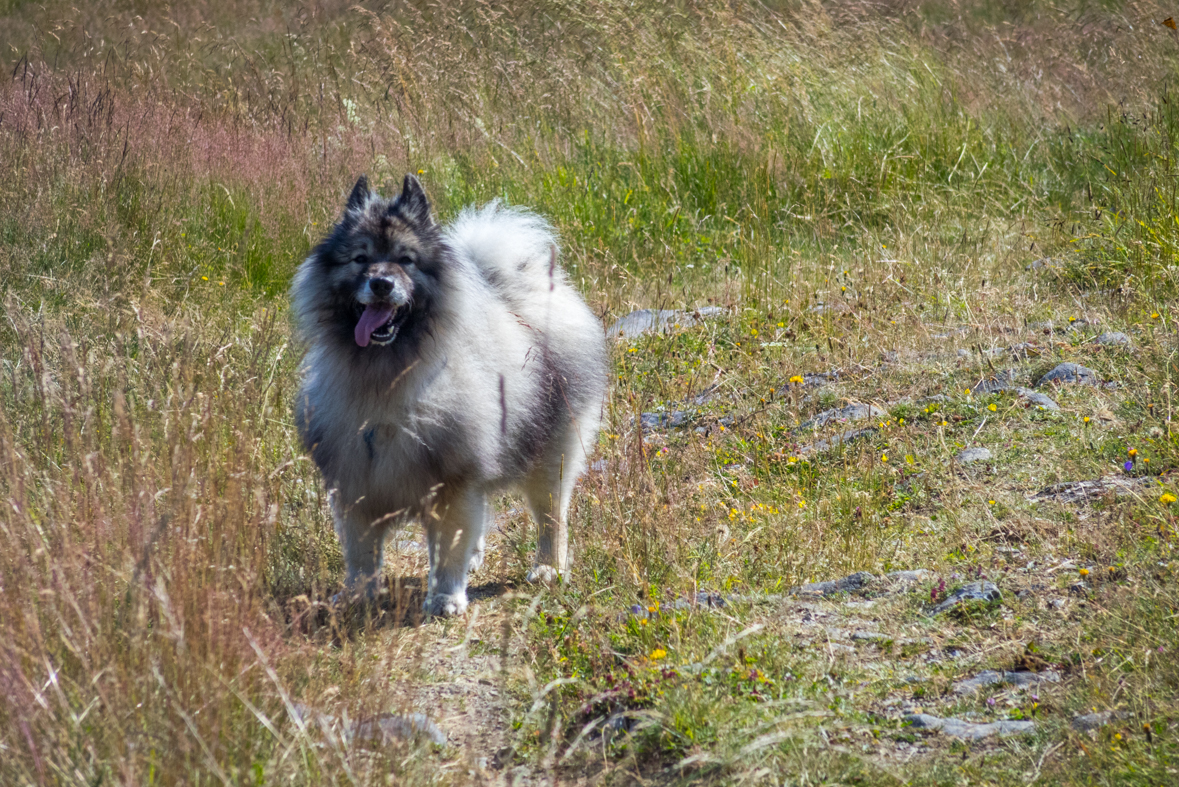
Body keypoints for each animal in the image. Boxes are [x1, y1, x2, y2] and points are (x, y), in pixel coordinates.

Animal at [291, 175, 608, 617]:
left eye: (406, 260)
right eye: (360, 259)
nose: (381, 283)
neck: (387, 376)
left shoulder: (453, 481)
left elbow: (447, 547)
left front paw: (444, 597)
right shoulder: (356, 483)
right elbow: (361, 555)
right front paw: (358, 596)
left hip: (549, 458)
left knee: (551, 517)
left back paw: (549, 568)